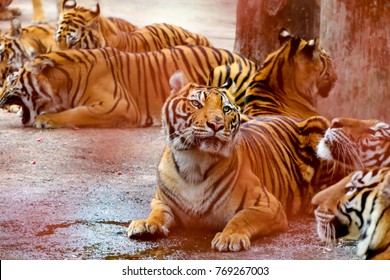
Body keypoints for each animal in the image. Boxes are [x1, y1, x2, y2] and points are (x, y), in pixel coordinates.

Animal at [0, 45, 256, 129]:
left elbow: (76, 112)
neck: (64, 83)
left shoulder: (117, 106)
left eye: (12, 79)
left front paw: (46, 120)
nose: (0, 97)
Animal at [125, 71, 332, 250]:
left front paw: (229, 237)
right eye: (196, 103)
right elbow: (158, 213)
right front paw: (146, 224)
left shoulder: (268, 205)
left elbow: (242, 217)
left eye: (225, 109)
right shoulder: (161, 201)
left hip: (322, 125)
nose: (216, 124)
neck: (194, 162)